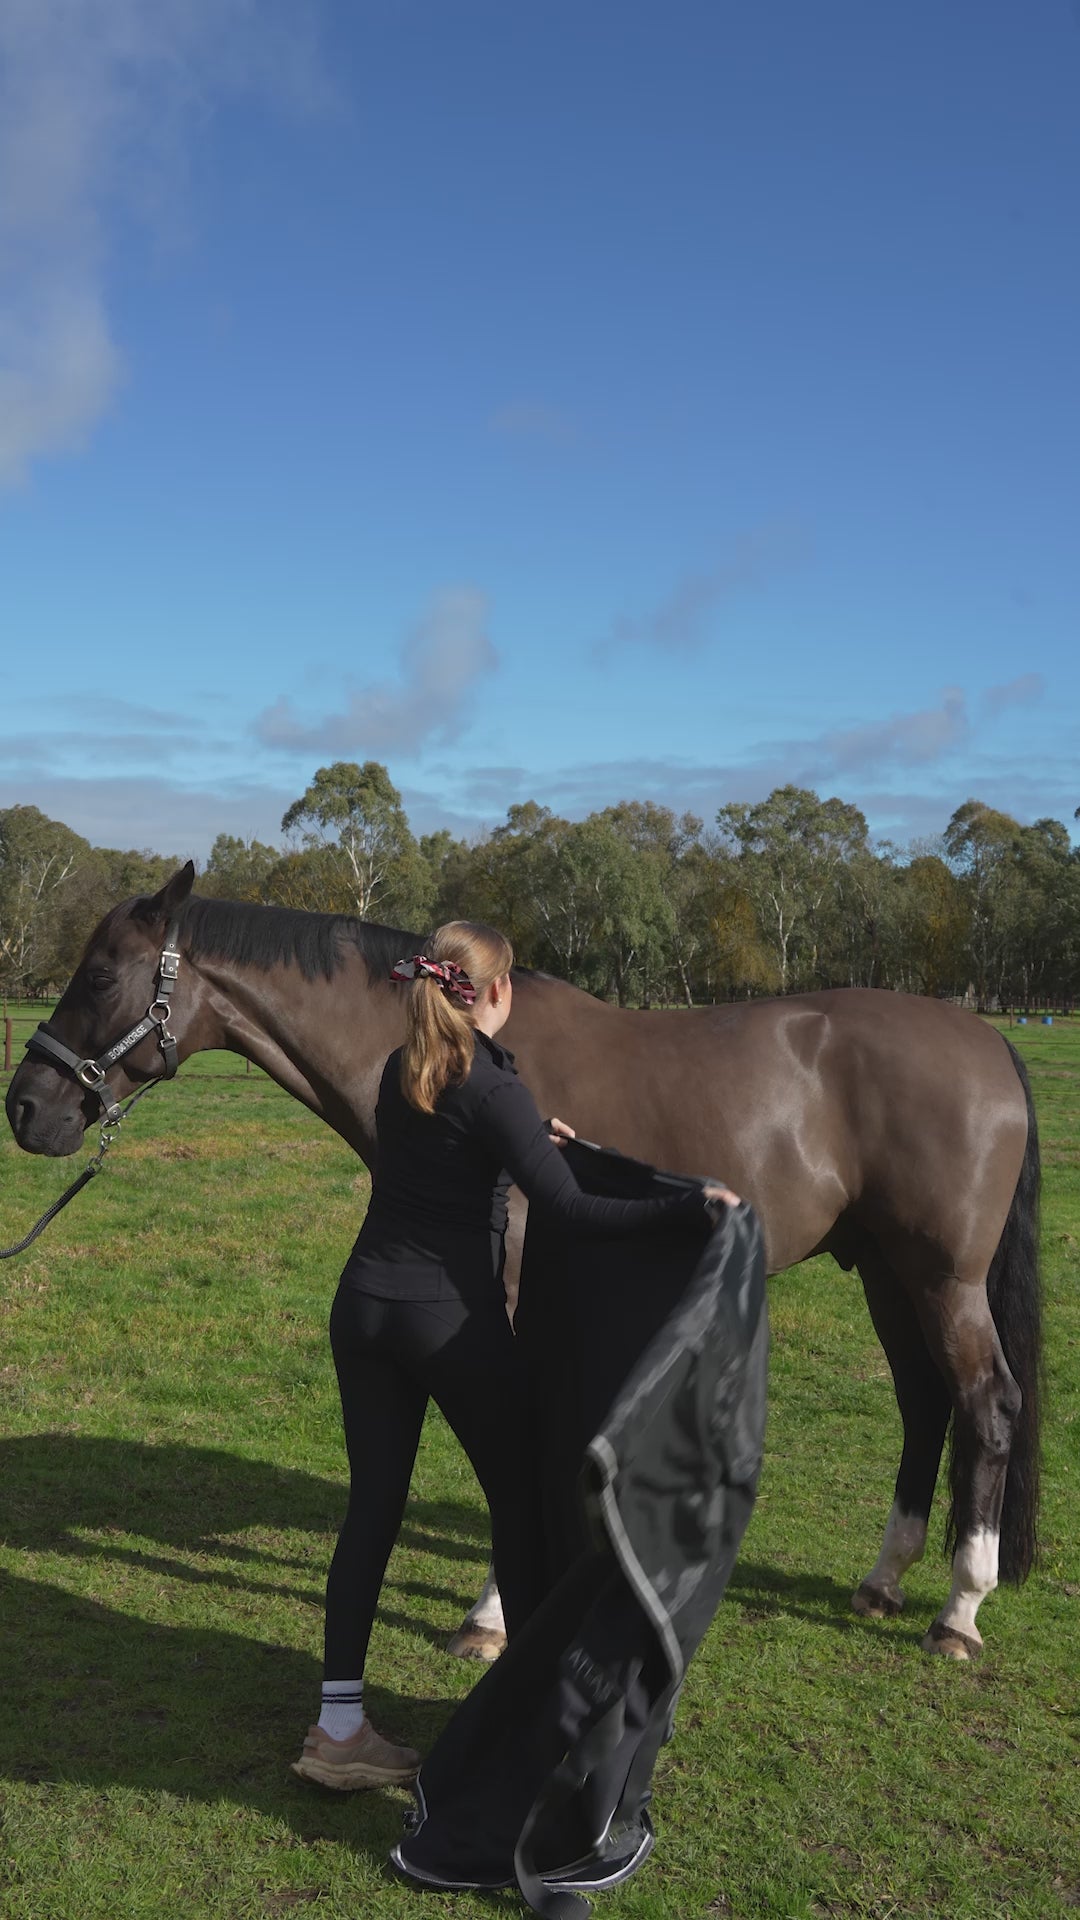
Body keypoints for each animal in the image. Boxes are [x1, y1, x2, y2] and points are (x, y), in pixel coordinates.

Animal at [5, 862, 1041, 1663]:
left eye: (99, 976)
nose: (26, 1108)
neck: (451, 1054)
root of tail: (988, 1039)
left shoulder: (501, 1301)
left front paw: (490, 1616)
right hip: (886, 1272)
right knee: (924, 1402)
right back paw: (885, 1579)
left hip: (942, 1280)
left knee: (986, 1404)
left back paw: (959, 1611)